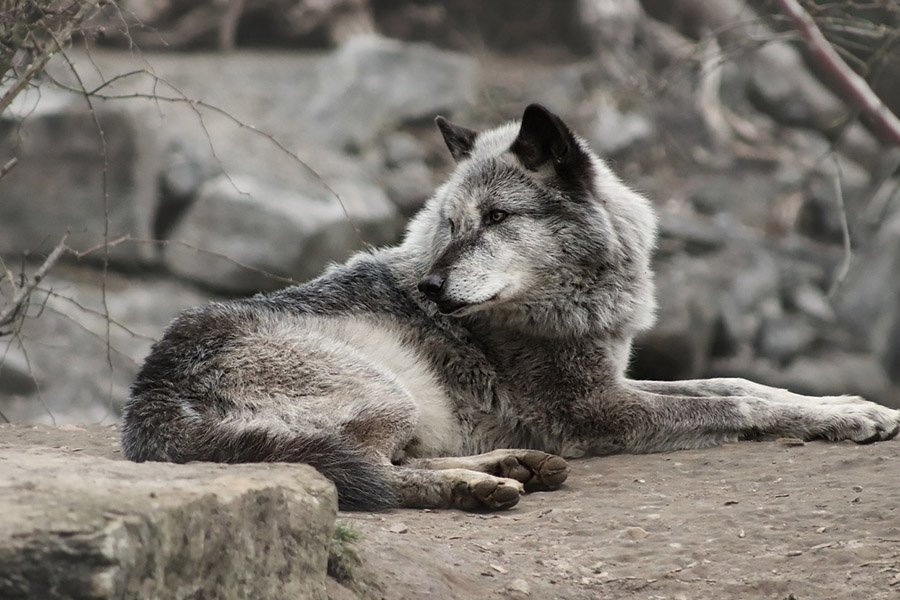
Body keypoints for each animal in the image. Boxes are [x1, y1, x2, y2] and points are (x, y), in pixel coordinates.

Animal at [123, 104, 900, 511]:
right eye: (451, 222)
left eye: (496, 217)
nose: (431, 291)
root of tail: (148, 396)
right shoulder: (591, 410)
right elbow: (737, 402)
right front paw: (845, 417)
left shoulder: (609, 379)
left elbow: (738, 381)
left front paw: (853, 408)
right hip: (385, 389)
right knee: (367, 475)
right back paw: (481, 486)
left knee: (390, 461)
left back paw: (515, 466)